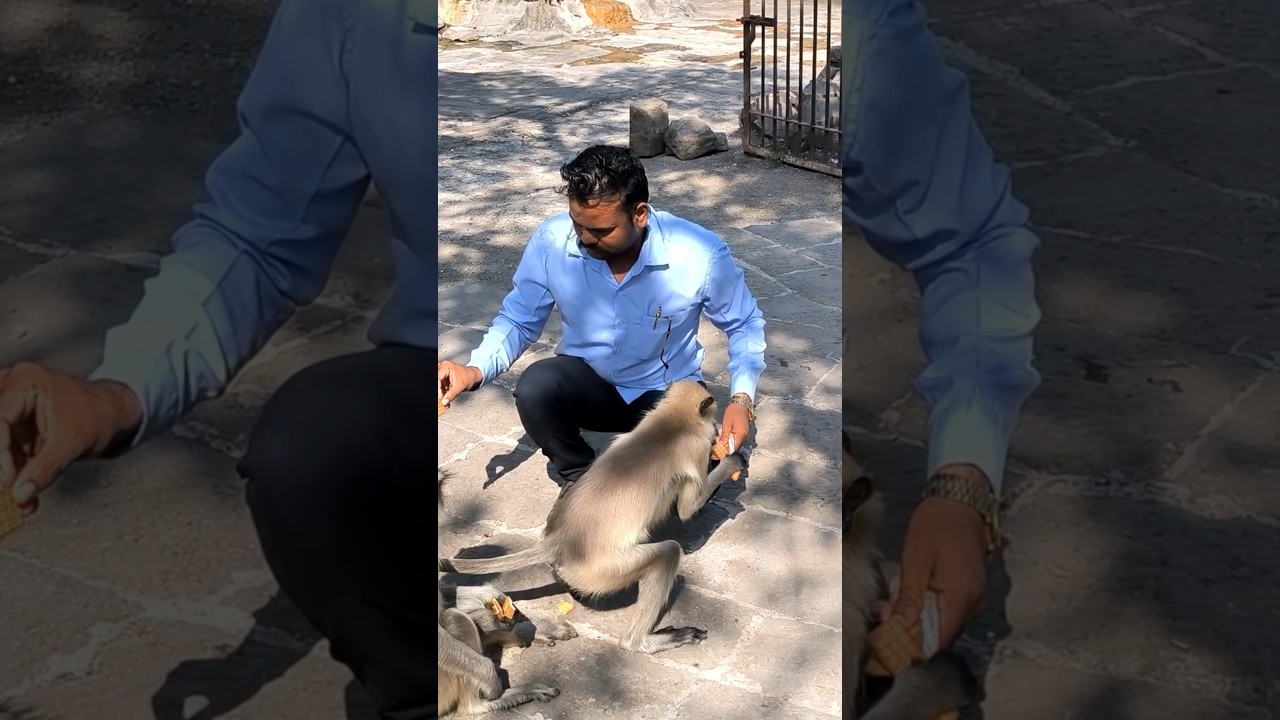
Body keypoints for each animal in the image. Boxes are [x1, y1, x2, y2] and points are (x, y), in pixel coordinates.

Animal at [442, 379, 749, 655]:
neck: (672, 418)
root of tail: (559, 540)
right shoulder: (696, 448)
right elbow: (687, 509)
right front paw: (732, 461)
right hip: (603, 569)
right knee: (668, 553)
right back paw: (643, 642)